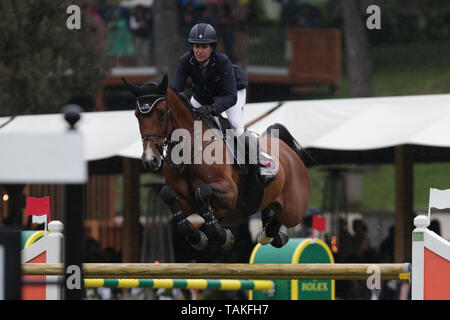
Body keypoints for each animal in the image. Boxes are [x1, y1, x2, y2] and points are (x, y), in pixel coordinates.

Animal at [121, 74, 312, 250]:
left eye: (161, 112)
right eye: (137, 115)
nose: (150, 159)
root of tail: (287, 150)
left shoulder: (230, 193)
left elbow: (202, 191)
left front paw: (223, 236)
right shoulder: (185, 203)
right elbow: (167, 194)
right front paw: (197, 237)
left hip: (294, 209)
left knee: (285, 216)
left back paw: (269, 234)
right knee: (271, 212)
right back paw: (272, 234)